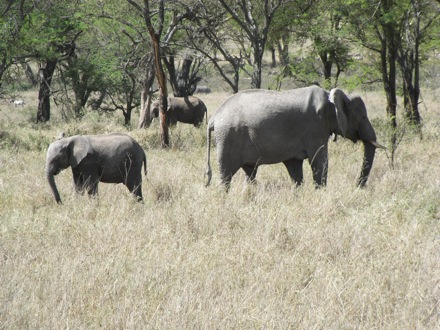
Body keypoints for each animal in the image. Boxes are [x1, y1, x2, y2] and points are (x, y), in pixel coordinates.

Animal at [206, 85, 384, 188]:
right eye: (363, 117)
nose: (358, 186)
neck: (332, 97)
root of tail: (213, 118)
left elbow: (295, 168)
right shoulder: (315, 127)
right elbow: (319, 161)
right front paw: (320, 193)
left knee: (250, 173)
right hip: (228, 138)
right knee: (226, 175)